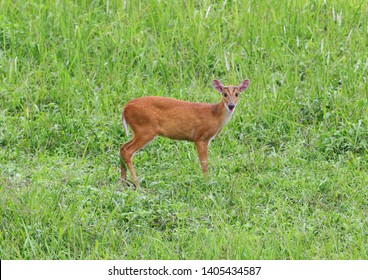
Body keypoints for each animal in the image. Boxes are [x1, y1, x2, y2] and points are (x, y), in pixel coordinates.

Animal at [121, 79, 250, 188]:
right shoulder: (201, 137)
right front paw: (207, 183)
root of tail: (125, 108)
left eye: (237, 94)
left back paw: (123, 181)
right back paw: (137, 185)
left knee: (122, 147)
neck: (215, 115)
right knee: (127, 151)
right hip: (146, 129)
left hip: (140, 130)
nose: (231, 106)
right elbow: (204, 163)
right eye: (224, 94)